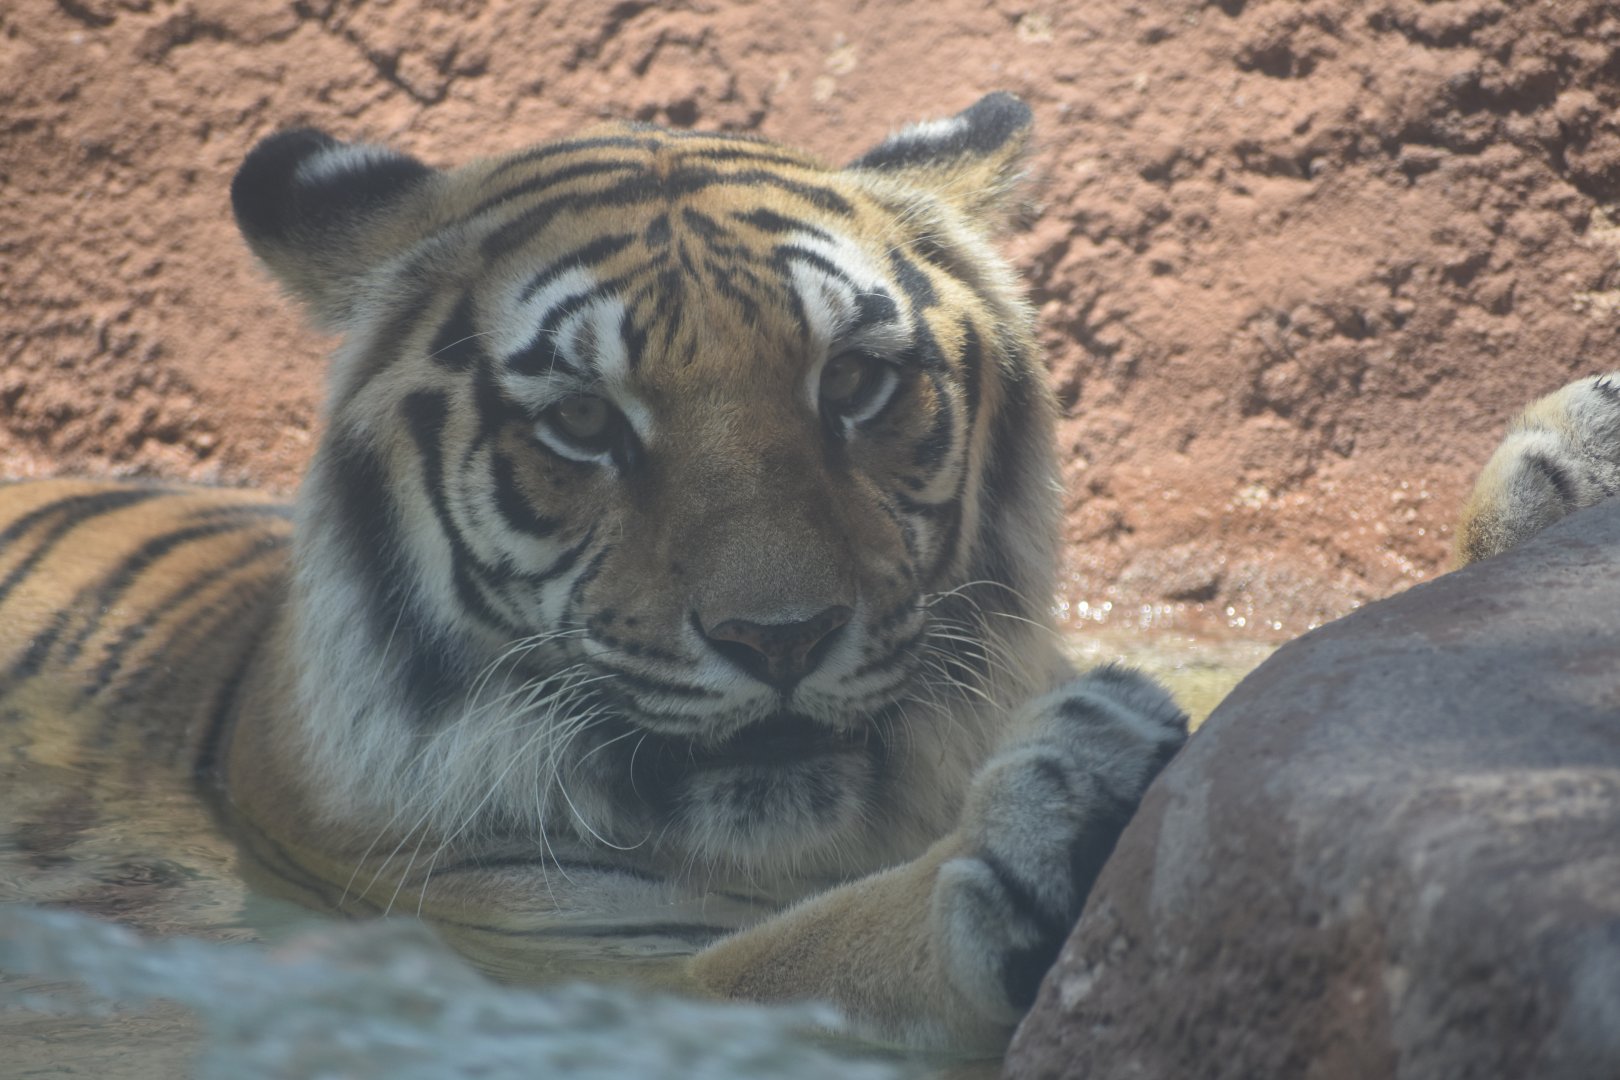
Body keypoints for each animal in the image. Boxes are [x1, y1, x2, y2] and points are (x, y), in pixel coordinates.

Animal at [0, 93, 1191, 1055]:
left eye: (853, 382)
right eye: (582, 422)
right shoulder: (557, 972)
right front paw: (1058, 804)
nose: (782, 637)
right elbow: (774, 966)